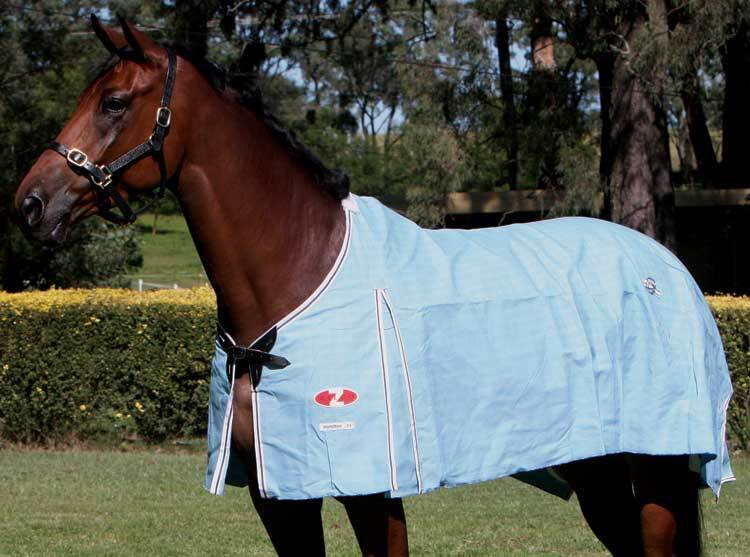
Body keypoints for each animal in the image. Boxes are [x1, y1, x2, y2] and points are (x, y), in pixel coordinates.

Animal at [13, 17, 734, 556]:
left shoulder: (369, 492)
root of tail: (665, 268)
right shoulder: (280, 496)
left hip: (657, 469)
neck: (298, 279)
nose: (30, 203)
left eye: (113, 103)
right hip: (599, 472)